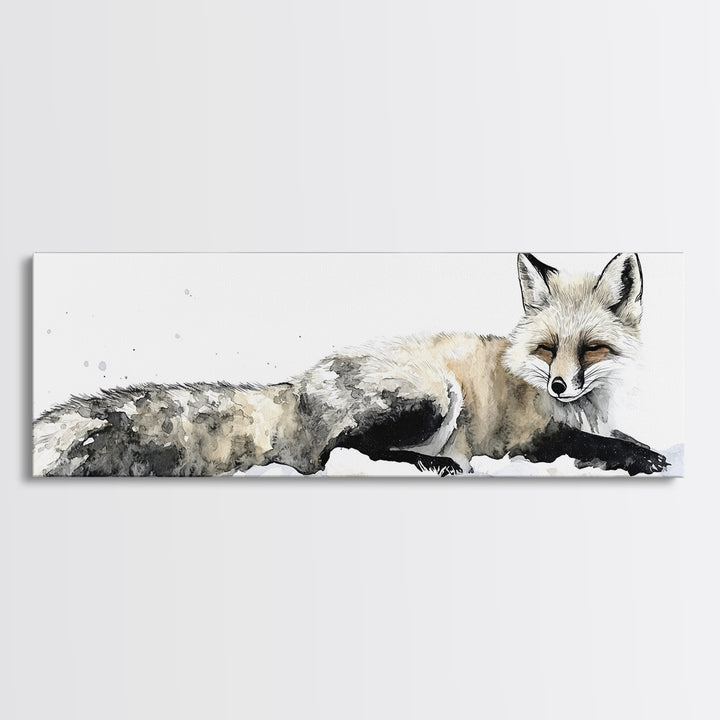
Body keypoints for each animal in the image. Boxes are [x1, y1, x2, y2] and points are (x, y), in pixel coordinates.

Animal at [33, 253, 669, 477]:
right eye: (547, 348)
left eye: (591, 349)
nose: (561, 384)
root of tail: (298, 385)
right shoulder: (527, 439)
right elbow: (597, 445)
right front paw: (644, 461)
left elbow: (619, 438)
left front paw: (645, 450)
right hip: (437, 396)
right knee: (337, 451)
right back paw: (433, 463)